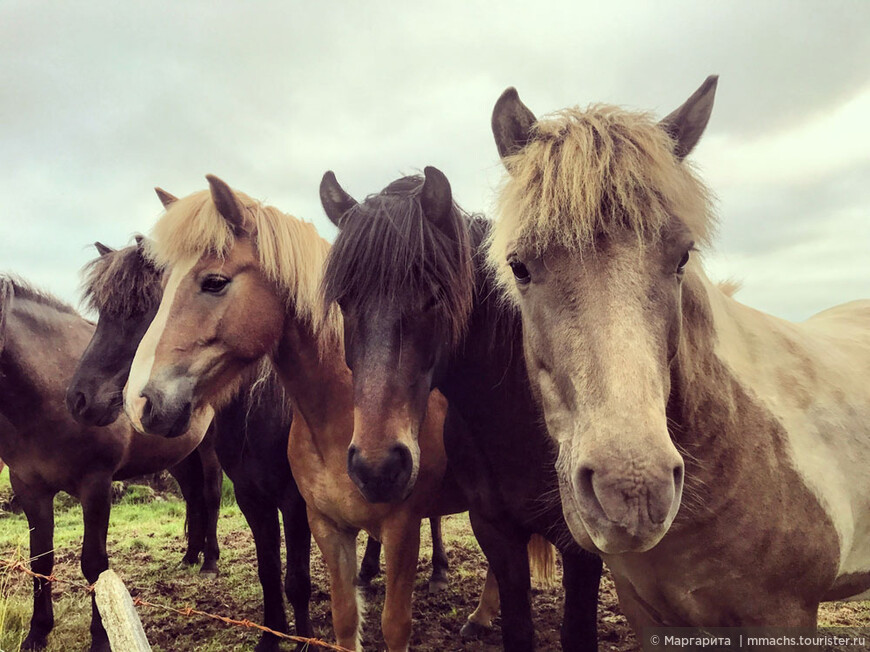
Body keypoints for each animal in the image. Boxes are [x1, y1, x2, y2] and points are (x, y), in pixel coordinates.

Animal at [0, 276, 213, 652]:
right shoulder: (29, 487)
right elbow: (41, 560)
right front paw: (37, 632)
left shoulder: (96, 485)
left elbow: (95, 566)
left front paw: (101, 637)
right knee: (194, 496)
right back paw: (191, 557)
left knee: (212, 494)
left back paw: (211, 561)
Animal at [119, 178, 474, 652]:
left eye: (214, 282)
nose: (139, 402)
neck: (341, 418)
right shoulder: (324, 524)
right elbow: (338, 614)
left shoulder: (401, 528)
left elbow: (391, 623)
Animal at [320, 169, 608, 652]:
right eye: (344, 300)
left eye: (434, 296)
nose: (377, 468)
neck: (517, 419)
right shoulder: (493, 528)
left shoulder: (582, 548)